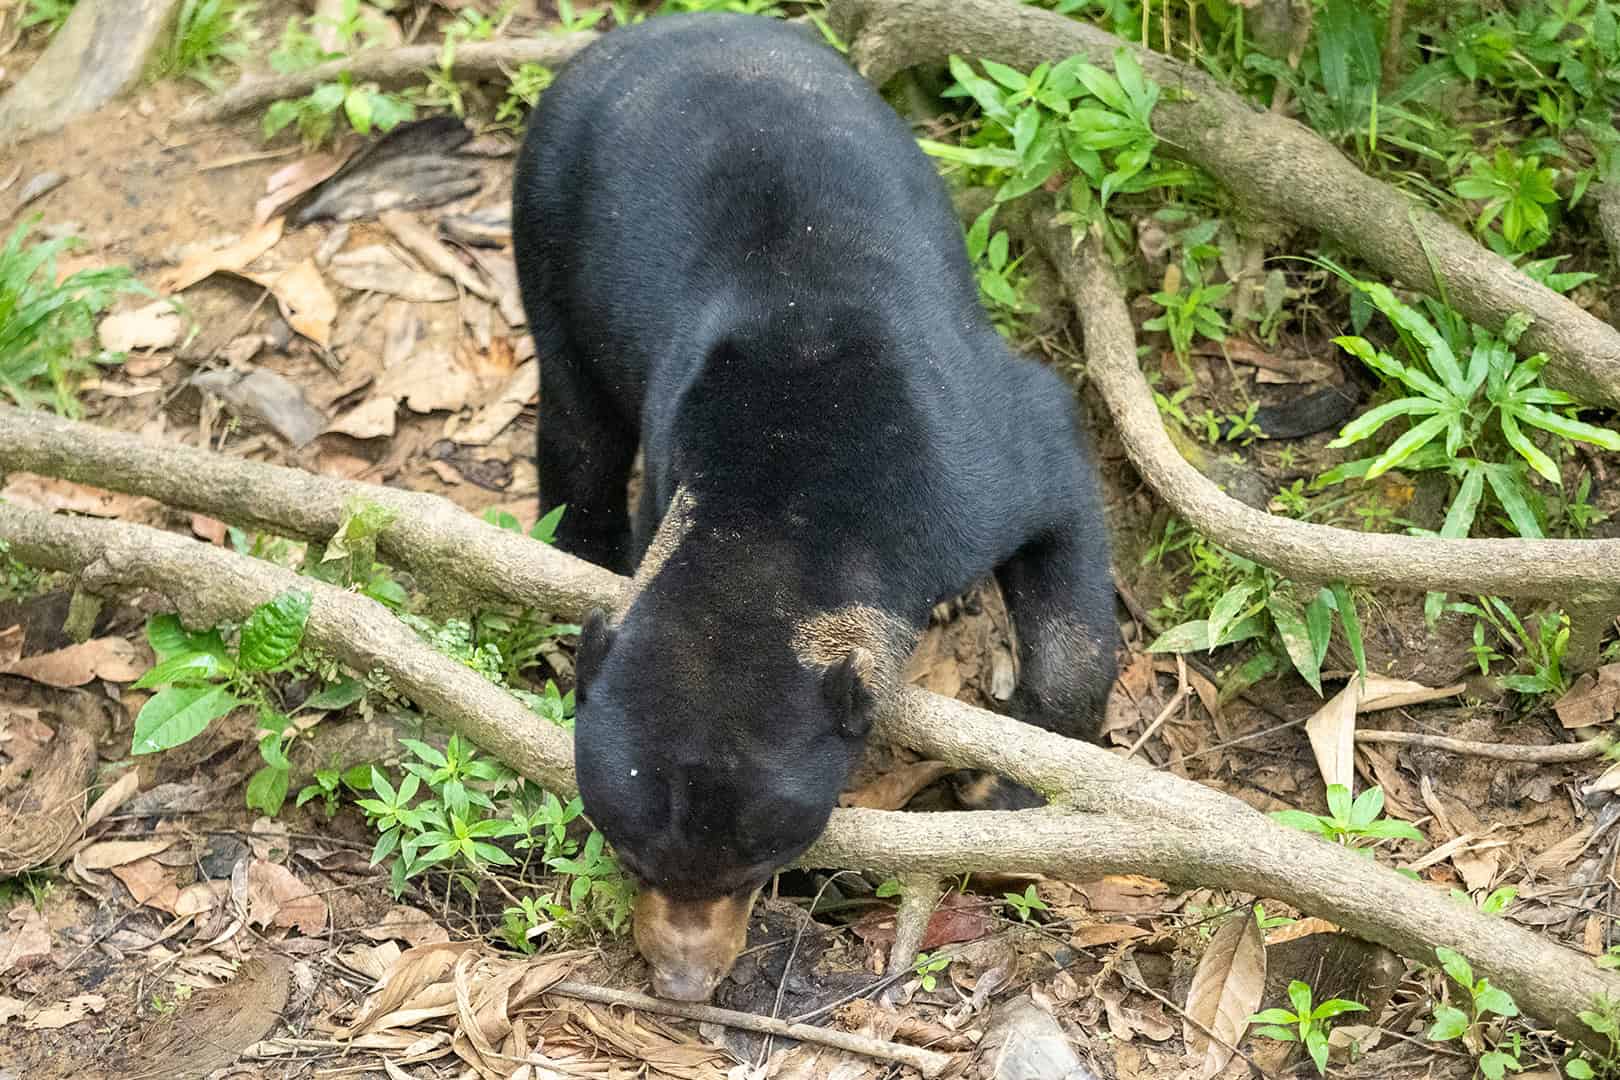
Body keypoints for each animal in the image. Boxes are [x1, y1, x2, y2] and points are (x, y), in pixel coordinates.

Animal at [513, 12, 1116, 1002]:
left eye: (760, 865)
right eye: (631, 854)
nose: (682, 981)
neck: (780, 519)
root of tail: (654, 27)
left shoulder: (984, 463)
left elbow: (1069, 571)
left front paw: (1004, 794)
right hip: (544, 225)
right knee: (578, 427)